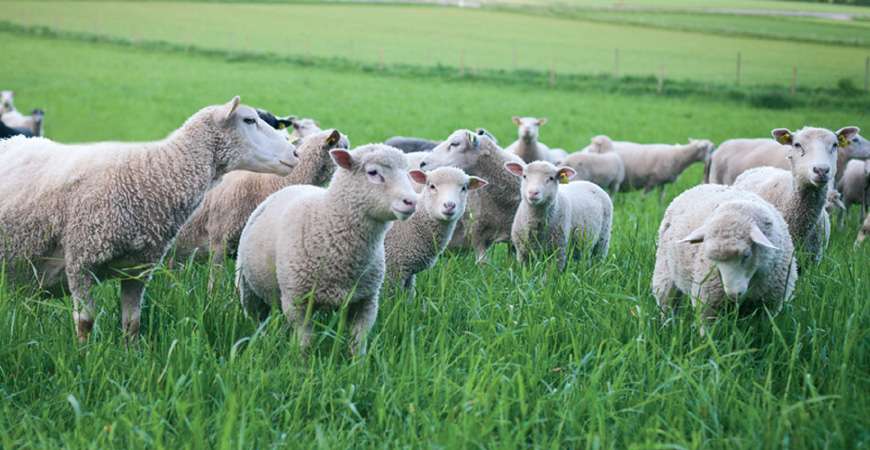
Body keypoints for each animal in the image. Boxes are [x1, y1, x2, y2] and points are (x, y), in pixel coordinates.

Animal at [0, 96, 298, 342]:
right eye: (249, 120)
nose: (295, 153)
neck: (150, 174)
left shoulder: (138, 268)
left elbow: (132, 323)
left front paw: (129, 357)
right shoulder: (80, 261)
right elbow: (85, 323)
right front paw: (83, 360)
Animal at [235, 144, 418, 356]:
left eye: (408, 174)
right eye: (373, 172)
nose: (411, 202)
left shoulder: (366, 301)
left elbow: (358, 343)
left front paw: (357, 363)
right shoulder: (296, 301)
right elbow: (305, 342)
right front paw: (301, 361)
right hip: (246, 287)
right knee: (255, 317)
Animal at [652, 184, 797, 325]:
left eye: (746, 255)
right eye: (712, 259)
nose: (733, 294)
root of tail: (696, 187)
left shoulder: (770, 304)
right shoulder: (707, 303)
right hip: (664, 273)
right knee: (666, 303)